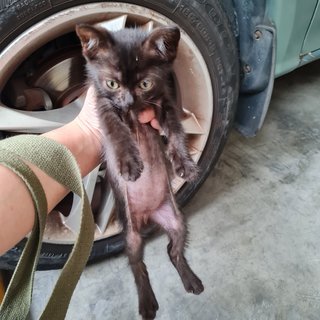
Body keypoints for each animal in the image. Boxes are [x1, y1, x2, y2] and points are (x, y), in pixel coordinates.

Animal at [76, 24, 204, 320]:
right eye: (112, 84)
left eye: (145, 84)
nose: (128, 101)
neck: (134, 112)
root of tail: (148, 216)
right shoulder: (102, 103)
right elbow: (115, 129)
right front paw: (128, 163)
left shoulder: (165, 104)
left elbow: (176, 132)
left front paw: (184, 164)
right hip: (131, 236)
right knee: (137, 266)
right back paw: (146, 303)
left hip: (177, 221)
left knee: (173, 252)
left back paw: (190, 279)